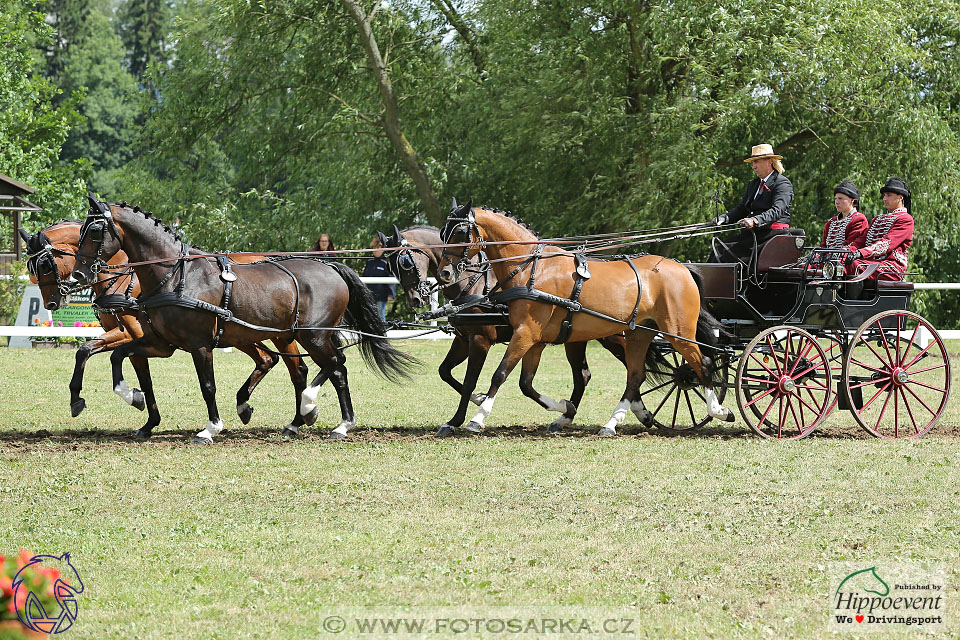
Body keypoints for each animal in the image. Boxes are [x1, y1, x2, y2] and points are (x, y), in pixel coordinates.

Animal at [19, 221, 308, 440]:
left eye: (45, 265)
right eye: (32, 268)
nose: (51, 303)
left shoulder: (134, 336)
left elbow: (94, 353)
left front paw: (127, 400)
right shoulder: (146, 343)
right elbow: (131, 374)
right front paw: (144, 418)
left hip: (277, 333)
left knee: (296, 370)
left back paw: (298, 417)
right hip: (241, 334)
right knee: (268, 359)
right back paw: (248, 406)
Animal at [71, 198, 416, 442]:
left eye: (95, 232)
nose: (78, 274)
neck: (176, 276)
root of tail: (331, 266)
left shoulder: (198, 344)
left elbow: (207, 385)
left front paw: (210, 429)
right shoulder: (162, 343)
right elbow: (117, 355)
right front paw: (131, 396)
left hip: (312, 335)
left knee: (335, 368)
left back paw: (332, 419)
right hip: (296, 334)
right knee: (320, 368)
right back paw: (302, 420)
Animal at [376, 222, 632, 438]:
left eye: (405, 262)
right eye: (390, 266)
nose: (416, 299)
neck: (474, 283)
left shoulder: (480, 339)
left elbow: (469, 380)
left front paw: (458, 419)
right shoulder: (463, 339)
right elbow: (444, 372)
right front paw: (478, 400)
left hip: (613, 337)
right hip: (576, 339)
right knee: (583, 376)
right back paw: (567, 416)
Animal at [436, 200, 736, 438]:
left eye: (460, 232)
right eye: (442, 233)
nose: (445, 273)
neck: (533, 269)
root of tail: (682, 268)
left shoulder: (521, 334)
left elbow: (498, 375)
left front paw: (476, 417)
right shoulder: (534, 339)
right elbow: (525, 383)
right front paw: (563, 408)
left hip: (677, 331)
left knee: (702, 364)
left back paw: (719, 410)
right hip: (638, 333)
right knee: (635, 375)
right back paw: (613, 423)